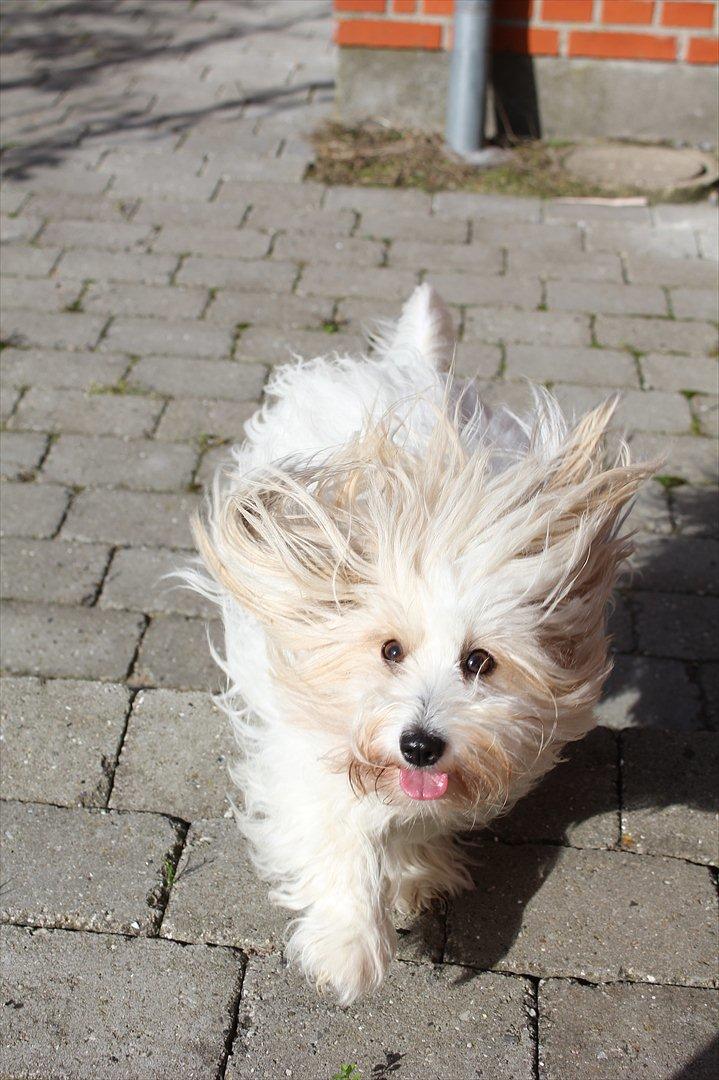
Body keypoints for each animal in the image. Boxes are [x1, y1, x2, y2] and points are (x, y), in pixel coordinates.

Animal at [187, 285, 652, 1002]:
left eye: (479, 661)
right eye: (389, 650)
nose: (419, 743)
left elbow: (418, 817)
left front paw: (411, 875)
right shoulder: (303, 733)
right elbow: (338, 832)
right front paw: (348, 947)